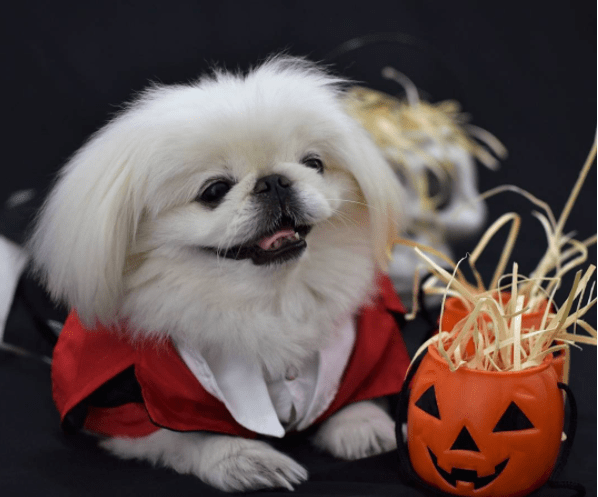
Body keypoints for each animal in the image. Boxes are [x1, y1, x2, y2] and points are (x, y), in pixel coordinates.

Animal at [28, 56, 412, 490]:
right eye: (214, 191)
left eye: (313, 164)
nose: (273, 181)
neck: (271, 298)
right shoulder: (135, 401)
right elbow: (188, 435)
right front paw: (246, 459)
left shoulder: (366, 343)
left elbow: (355, 387)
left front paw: (363, 426)